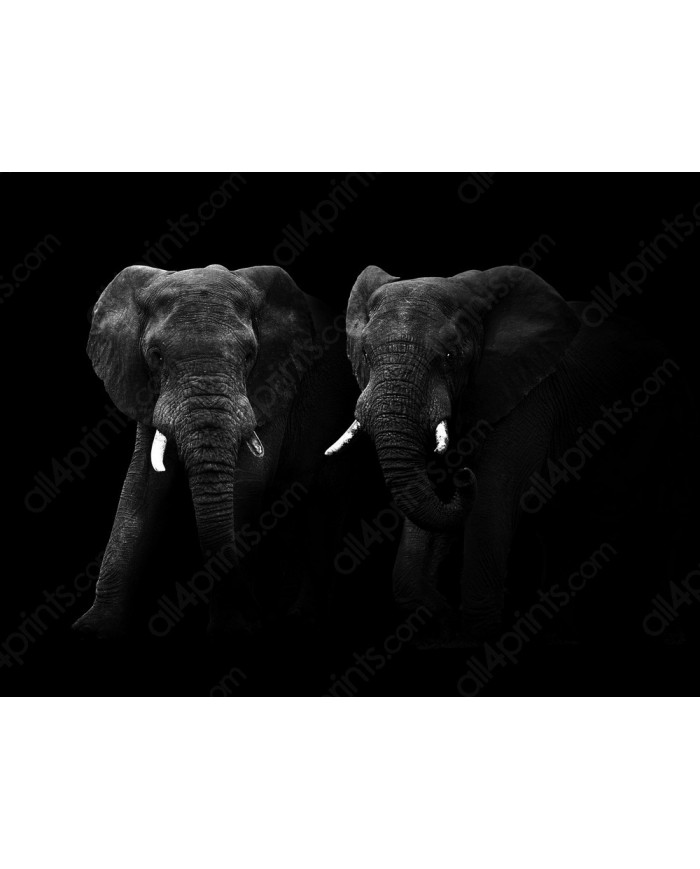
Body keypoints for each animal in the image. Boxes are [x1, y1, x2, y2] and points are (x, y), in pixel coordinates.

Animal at [73, 263, 358, 639]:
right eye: (156, 355)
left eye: (250, 355)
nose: (250, 614)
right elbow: (141, 488)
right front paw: (92, 629)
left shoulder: (275, 381)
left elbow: (246, 483)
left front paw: (232, 626)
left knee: (324, 503)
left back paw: (303, 620)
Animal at [325, 264, 688, 643]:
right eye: (366, 355)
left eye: (451, 357)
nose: (462, 474)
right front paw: (442, 619)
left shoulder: (529, 396)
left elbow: (491, 501)